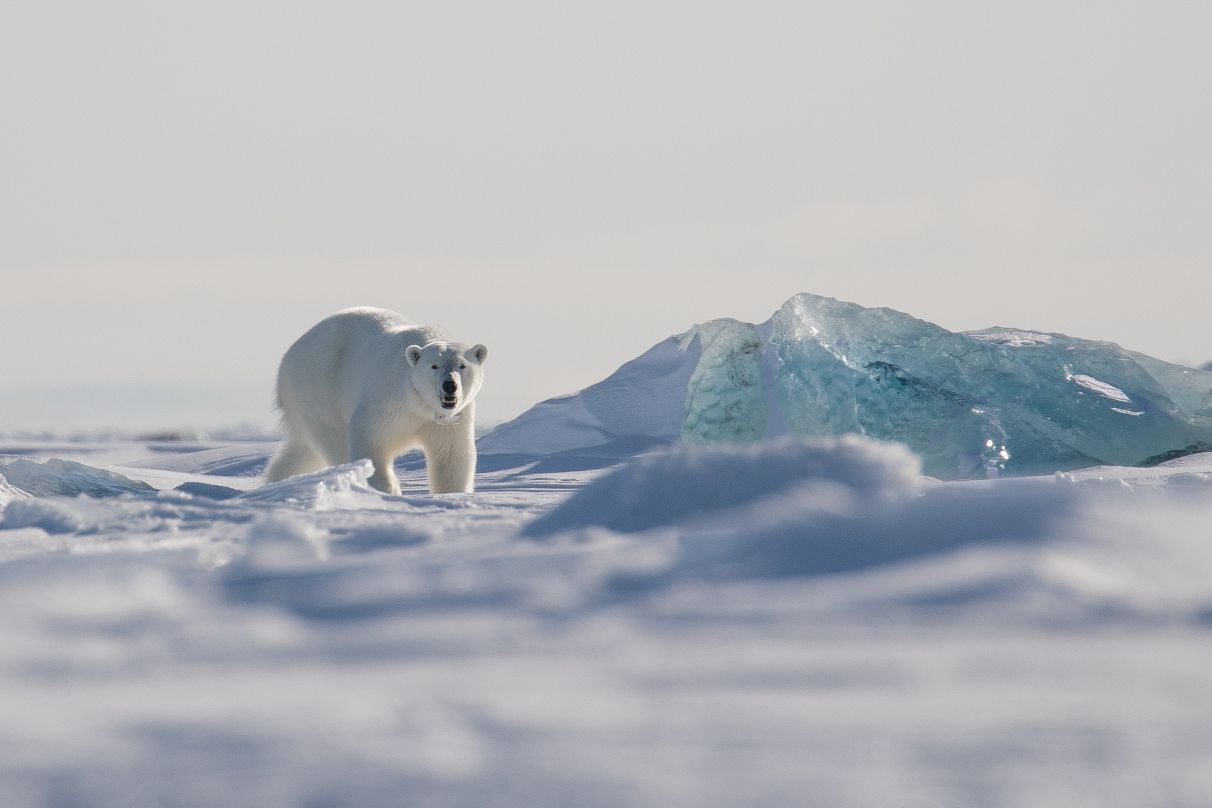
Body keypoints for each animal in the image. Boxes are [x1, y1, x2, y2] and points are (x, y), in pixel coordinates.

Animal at [265, 307, 487, 494]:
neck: (419, 403)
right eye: (434, 365)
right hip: (317, 388)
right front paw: (389, 489)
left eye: (462, 365)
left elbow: (450, 458)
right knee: (334, 439)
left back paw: (277, 481)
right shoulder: (388, 401)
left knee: (302, 451)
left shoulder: (450, 419)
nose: (449, 386)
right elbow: (370, 442)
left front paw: (452, 494)